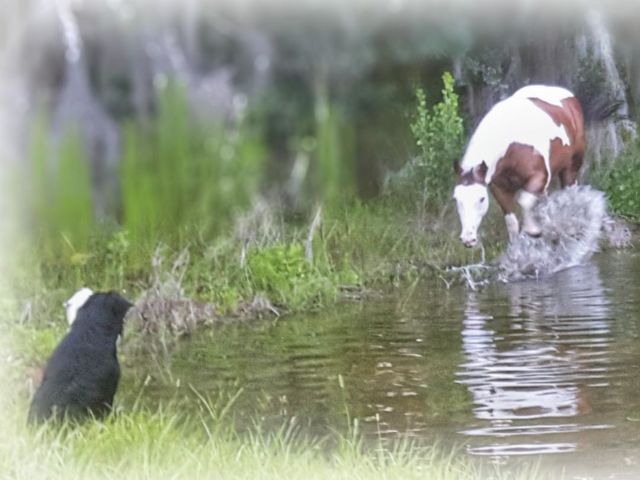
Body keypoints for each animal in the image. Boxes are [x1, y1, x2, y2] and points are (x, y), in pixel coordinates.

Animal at [453, 85, 586, 247]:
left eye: (482, 199)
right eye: (456, 198)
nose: (468, 239)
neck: (512, 145)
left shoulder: (538, 177)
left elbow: (524, 200)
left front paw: (532, 231)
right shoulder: (500, 189)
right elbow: (512, 223)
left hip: (571, 167)